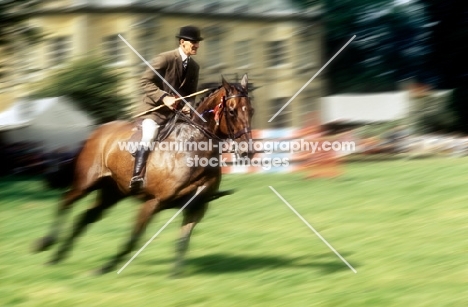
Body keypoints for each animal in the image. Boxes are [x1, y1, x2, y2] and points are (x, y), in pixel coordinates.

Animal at [34, 74, 254, 276]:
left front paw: (175, 275)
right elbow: (133, 239)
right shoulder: (153, 201)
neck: (193, 148)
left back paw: (58, 256)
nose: (248, 152)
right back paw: (45, 244)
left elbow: (183, 240)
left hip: (112, 192)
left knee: (85, 217)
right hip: (86, 182)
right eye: (232, 111)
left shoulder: (197, 206)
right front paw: (104, 269)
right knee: (65, 202)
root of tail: (98, 130)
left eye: (251, 110)